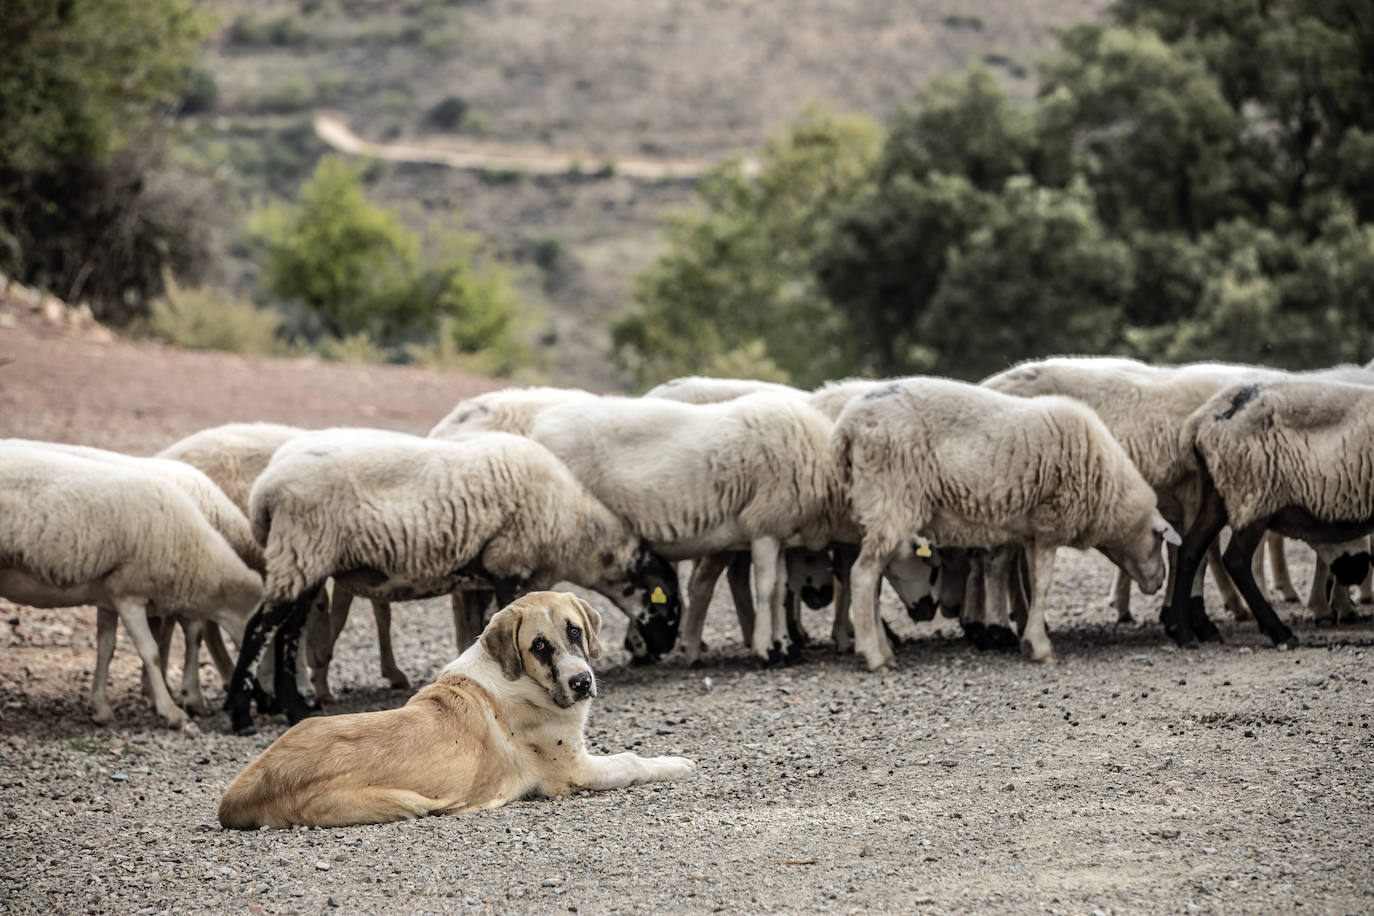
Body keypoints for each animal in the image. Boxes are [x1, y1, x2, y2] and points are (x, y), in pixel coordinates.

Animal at [0, 444, 265, 730]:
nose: (273, 704)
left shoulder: (109, 595)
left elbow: (108, 648)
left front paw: (102, 708)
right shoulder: (130, 595)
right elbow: (154, 650)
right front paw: (172, 709)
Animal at [223, 590, 697, 829]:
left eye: (574, 631)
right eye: (539, 646)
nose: (581, 682)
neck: (519, 681)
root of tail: (238, 797)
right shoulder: (576, 770)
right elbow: (633, 760)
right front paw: (678, 762)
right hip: (402, 801)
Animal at [225, 425, 681, 736]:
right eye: (666, 599)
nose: (664, 650)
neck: (574, 528)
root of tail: (265, 491)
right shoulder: (509, 562)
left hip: (304, 560)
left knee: (286, 633)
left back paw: (296, 710)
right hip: (303, 548)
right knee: (260, 628)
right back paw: (242, 714)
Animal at [829, 379, 1176, 672]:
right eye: (1160, 540)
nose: (1160, 581)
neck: (1109, 490)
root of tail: (847, 426)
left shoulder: (1030, 533)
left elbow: (1023, 579)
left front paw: (1023, 634)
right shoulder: (1050, 523)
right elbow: (1042, 584)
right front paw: (1039, 646)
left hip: (877, 509)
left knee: (872, 578)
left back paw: (882, 649)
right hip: (892, 500)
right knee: (863, 576)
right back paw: (873, 657)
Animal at [1165, 379, 1374, 650]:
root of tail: (1201, 422)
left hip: (1220, 493)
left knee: (1189, 549)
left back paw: (1183, 633)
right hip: (1255, 493)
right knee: (1236, 559)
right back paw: (1279, 632)